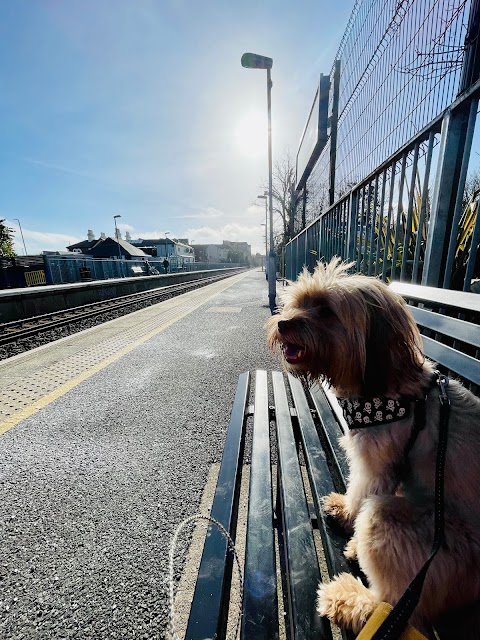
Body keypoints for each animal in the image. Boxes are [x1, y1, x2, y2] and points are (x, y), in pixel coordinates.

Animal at [264, 260, 480, 640]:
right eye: (297, 302)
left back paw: (345, 598)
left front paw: (347, 522)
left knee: (395, 609)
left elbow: (361, 491)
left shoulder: (375, 461)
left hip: (412, 532)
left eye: (325, 310)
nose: (283, 322)